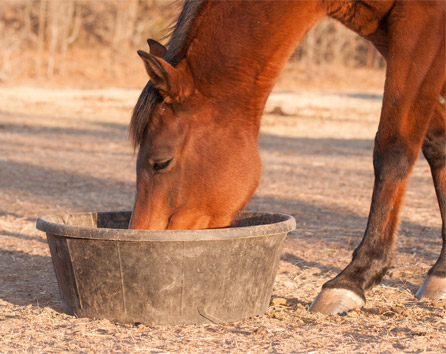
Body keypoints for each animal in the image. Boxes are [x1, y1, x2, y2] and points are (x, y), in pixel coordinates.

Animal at [127, 0, 444, 316]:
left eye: (160, 162)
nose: (142, 236)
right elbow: (437, 146)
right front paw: (440, 272)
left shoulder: (422, 25)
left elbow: (393, 150)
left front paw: (354, 277)